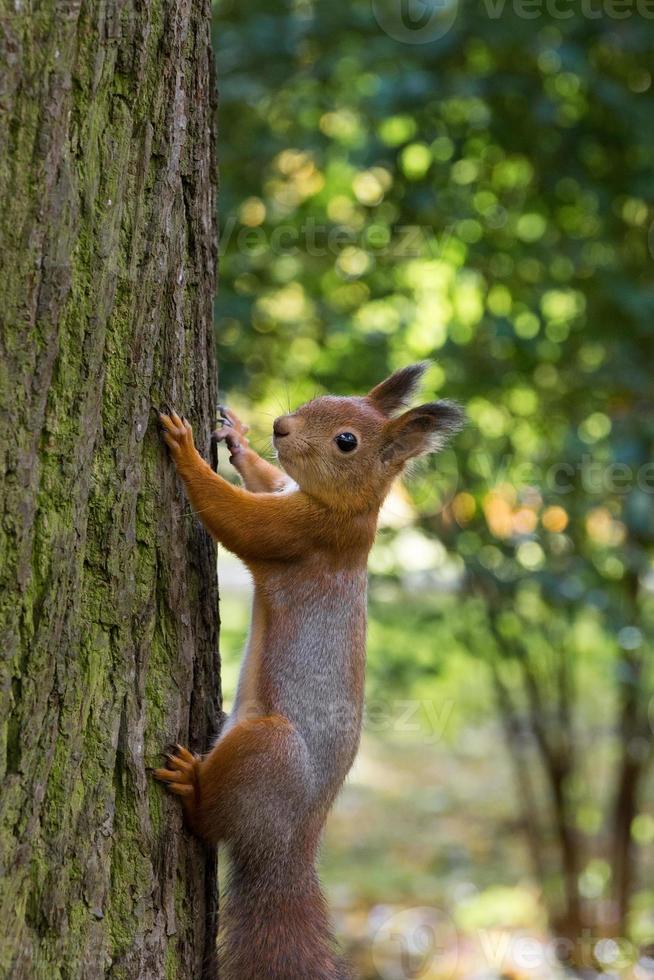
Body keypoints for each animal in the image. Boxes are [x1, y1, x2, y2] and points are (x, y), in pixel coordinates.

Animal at [153, 366, 464, 980]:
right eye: (321, 399)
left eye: (347, 441)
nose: (280, 425)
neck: (352, 510)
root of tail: (289, 850)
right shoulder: (287, 494)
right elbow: (268, 479)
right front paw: (237, 439)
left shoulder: (307, 534)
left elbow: (235, 519)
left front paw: (186, 450)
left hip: (267, 750)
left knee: (209, 824)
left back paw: (191, 787)